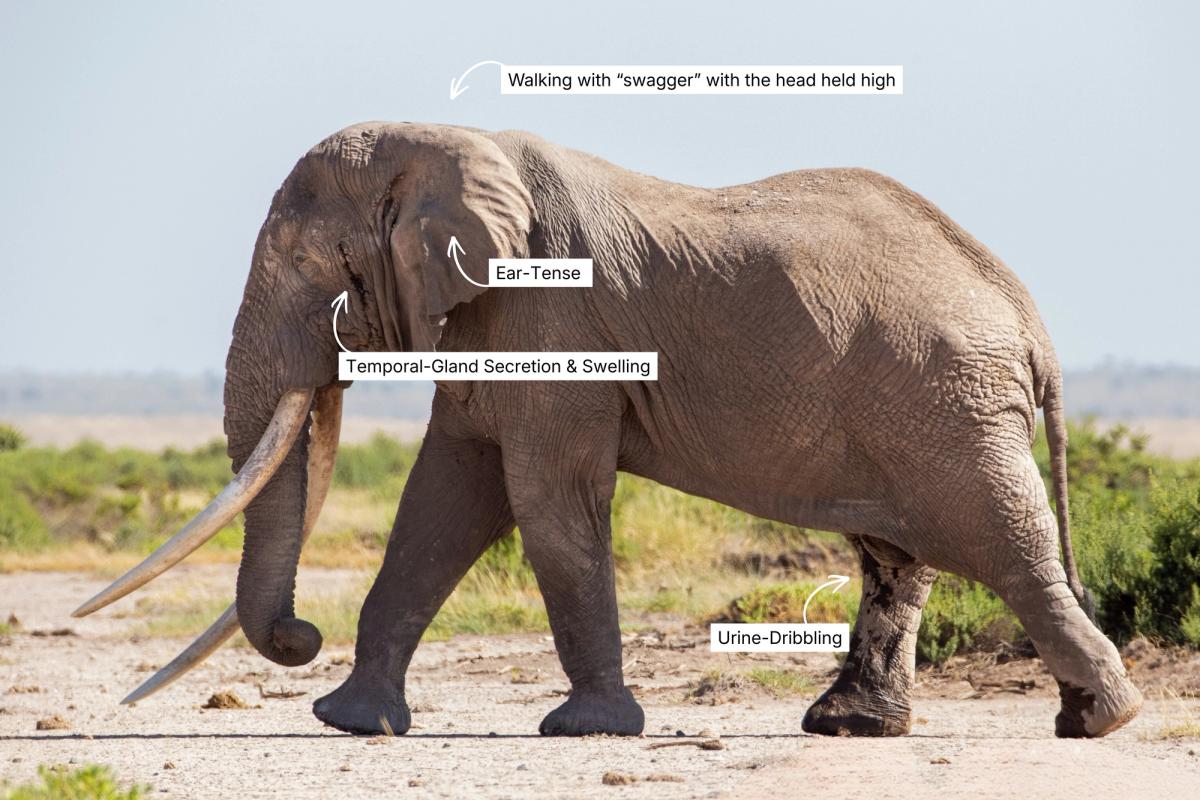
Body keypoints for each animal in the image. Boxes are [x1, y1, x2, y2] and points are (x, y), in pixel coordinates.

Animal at [75, 121, 1142, 740]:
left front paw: (585, 731)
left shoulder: (551, 315)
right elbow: (444, 501)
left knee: (998, 543)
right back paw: (852, 728)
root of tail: (1025, 312)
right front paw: (351, 723)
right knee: (898, 553)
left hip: (943, 401)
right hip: (915, 402)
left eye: (307, 264)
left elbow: (542, 502)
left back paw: (1102, 718)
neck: (450, 146)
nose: (300, 633)